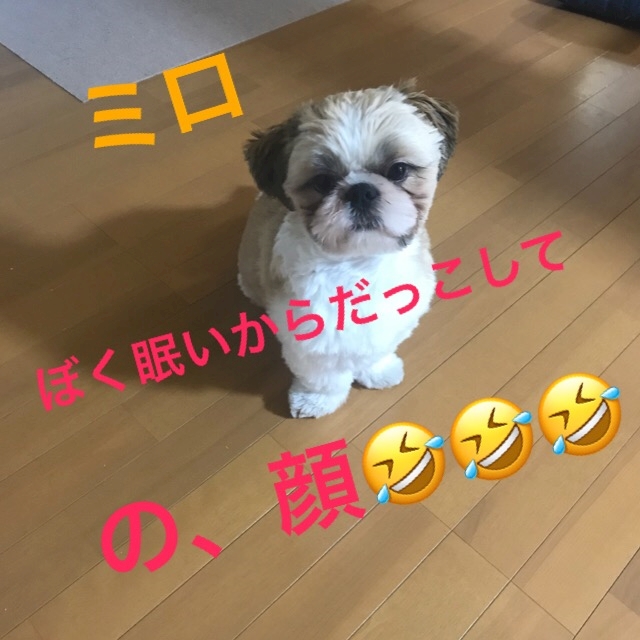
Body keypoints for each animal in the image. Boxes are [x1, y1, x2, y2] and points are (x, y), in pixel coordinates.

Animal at [237, 80, 458, 418]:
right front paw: (316, 399)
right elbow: (323, 376)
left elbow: (376, 351)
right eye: (323, 182)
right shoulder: (309, 339)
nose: (361, 191)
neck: (361, 266)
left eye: (398, 170)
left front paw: (378, 371)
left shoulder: (392, 323)